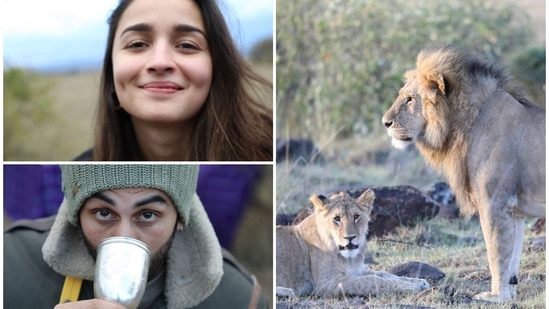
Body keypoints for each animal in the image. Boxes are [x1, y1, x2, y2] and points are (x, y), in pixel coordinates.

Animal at [274, 189, 428, 298]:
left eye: (356, 216)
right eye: (337, 218)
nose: (350, 238)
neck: (349, 258)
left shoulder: (356, 271)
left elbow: (383, 274)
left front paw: (418, 282)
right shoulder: (327, 283)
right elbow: (371, 280)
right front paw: (410, 287)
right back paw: (286, 291)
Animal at [382, 45, 544, 300]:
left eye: (409, 99)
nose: (385, 122)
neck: (463, 126)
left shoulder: (495, 203)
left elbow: (497, 254)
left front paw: (495, 297)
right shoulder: (514, 210)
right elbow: (512, 260)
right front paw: (508, 295)